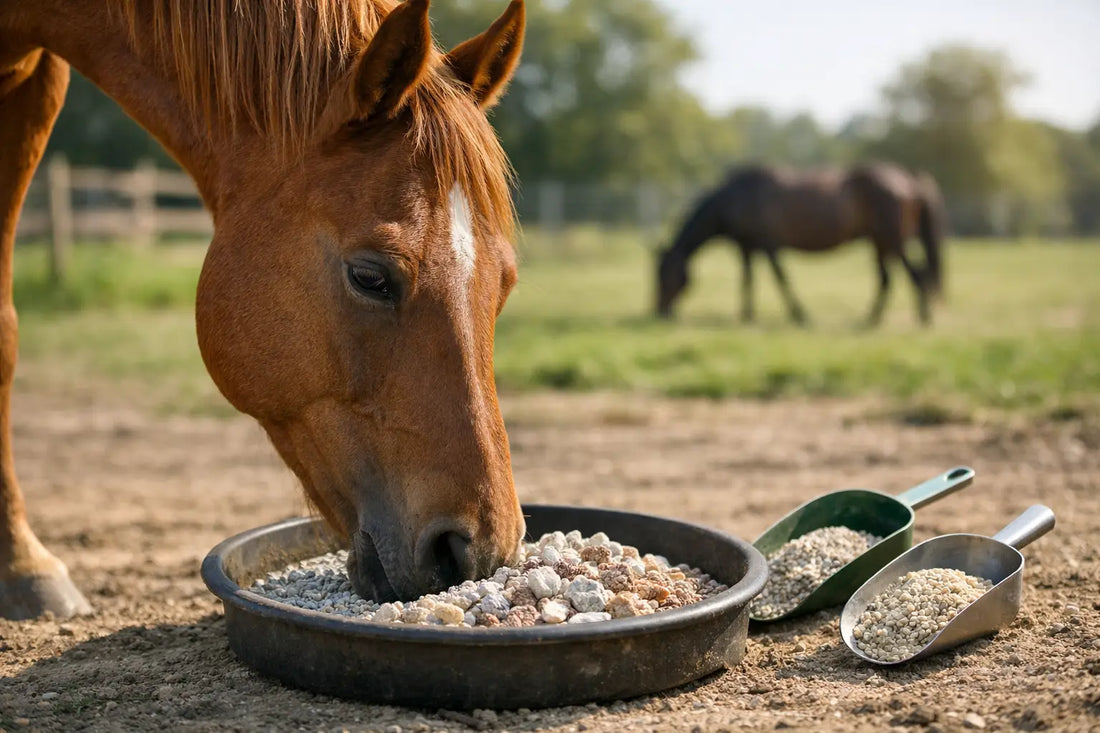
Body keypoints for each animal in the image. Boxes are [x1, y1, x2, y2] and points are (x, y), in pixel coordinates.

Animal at [655, 163, 947, 326]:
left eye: (664, 276)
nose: (660, 312)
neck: (736, 199)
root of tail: (908, 179)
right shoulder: (746, 248)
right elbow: (748, 281)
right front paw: (747, 315)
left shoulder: (769, 246)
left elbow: (781, 279)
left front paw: (799, 315)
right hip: (880, 243)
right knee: (887, 279)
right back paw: (871, 318)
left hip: (892, 240)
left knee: (917, 274)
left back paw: (922, 318)